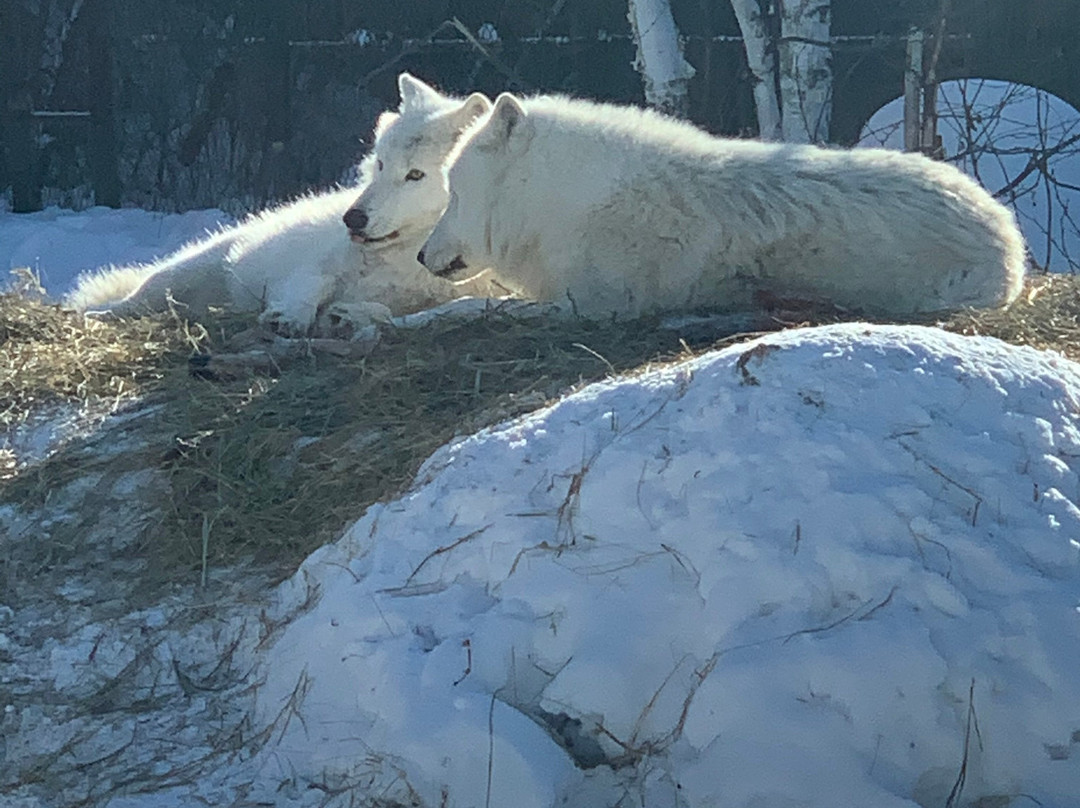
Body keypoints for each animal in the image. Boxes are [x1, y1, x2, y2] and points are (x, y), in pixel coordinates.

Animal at [67, 74, 500, 333]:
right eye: (380, 165)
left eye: (415, 175)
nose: (352, 218)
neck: (404, 258)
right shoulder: (312, 266)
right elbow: (310, 284)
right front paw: (290, 316)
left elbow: (395, 312)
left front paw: (348, 316)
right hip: (179, 276)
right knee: (126, 303)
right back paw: (89, 316)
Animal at [419, 92, 1026, 319]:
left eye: (453, 196)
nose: (422, 256)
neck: (557, 202)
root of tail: (1007, 233)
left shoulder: (590, 305)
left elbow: (474, 308)